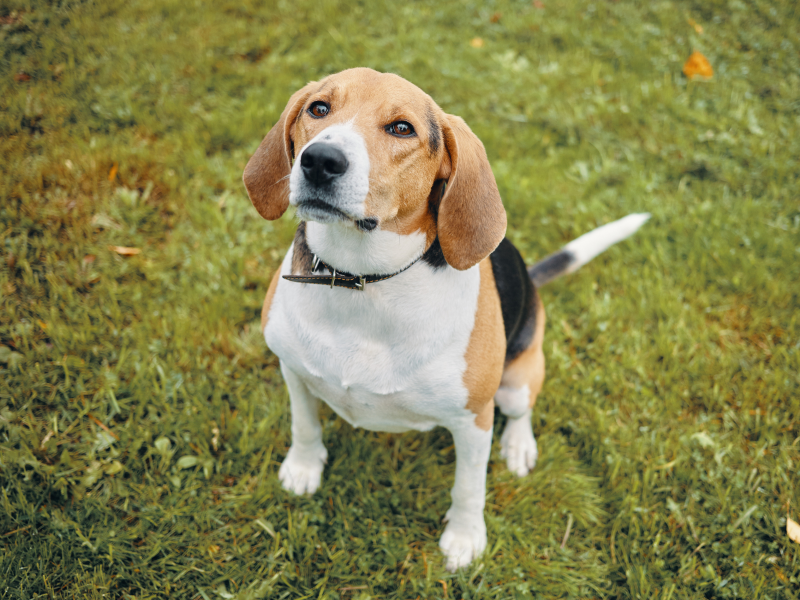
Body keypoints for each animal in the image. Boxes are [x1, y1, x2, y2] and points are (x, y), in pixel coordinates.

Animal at [244, 67, 648, 572]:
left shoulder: (473, 419)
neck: (363, 279)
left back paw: (518, 446)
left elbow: (469, 488)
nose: (319, 160)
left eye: (402, 128)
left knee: (522, 410)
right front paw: (302, 468)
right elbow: (304, 425)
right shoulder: (293, 369)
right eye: (318, 108)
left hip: (514, 383)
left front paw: (464, 539)